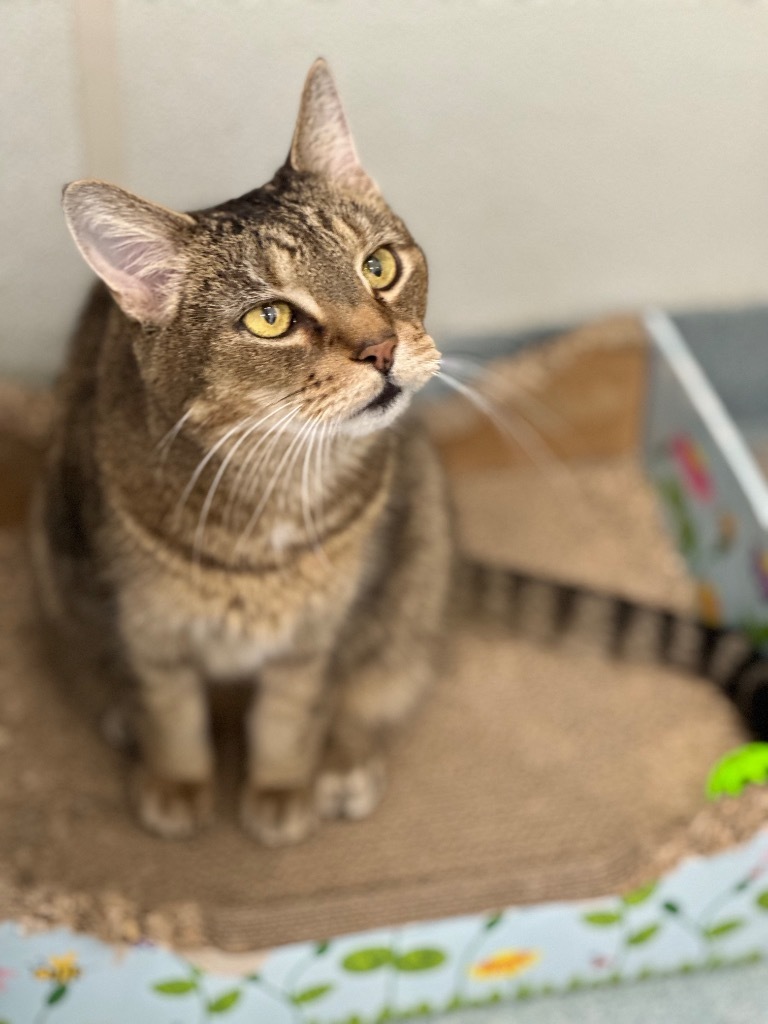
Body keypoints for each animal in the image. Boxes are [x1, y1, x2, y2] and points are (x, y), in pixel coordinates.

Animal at [33, 59, 768, 843]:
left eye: (379, 267)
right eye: (271, 318)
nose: (381, 348)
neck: (277, 491)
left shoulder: (321, 636)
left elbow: (290, 718)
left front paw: (282, 788)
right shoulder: (145, 627)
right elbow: (170, 713)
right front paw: (176, 782)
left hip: (414, 571)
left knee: (385, 684)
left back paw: (345, 767)